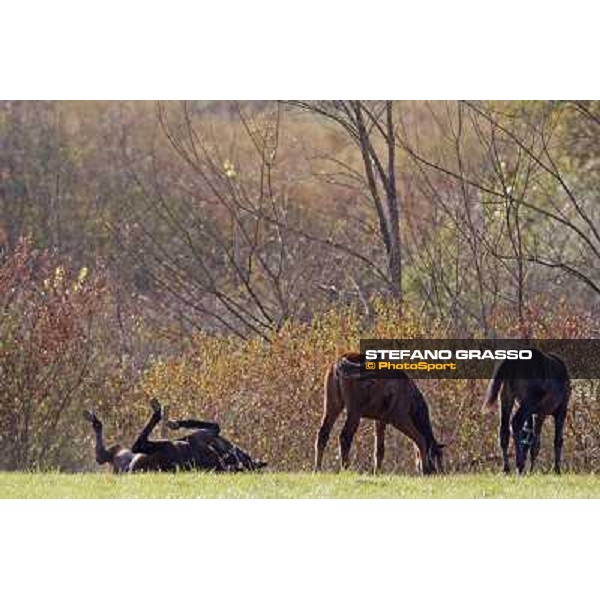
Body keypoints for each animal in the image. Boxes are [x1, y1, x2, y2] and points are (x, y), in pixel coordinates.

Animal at [82, 398, 268, 474]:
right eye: (245, 456)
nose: (239, 451)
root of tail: (130, 470)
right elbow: (215, 426)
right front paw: (174, 422)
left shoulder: (201, 437)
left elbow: (215, 426)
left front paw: (173, 423)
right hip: (119, 452)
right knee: (101, 455)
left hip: (152, 447)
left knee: (136, 444)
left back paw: (158, 411)